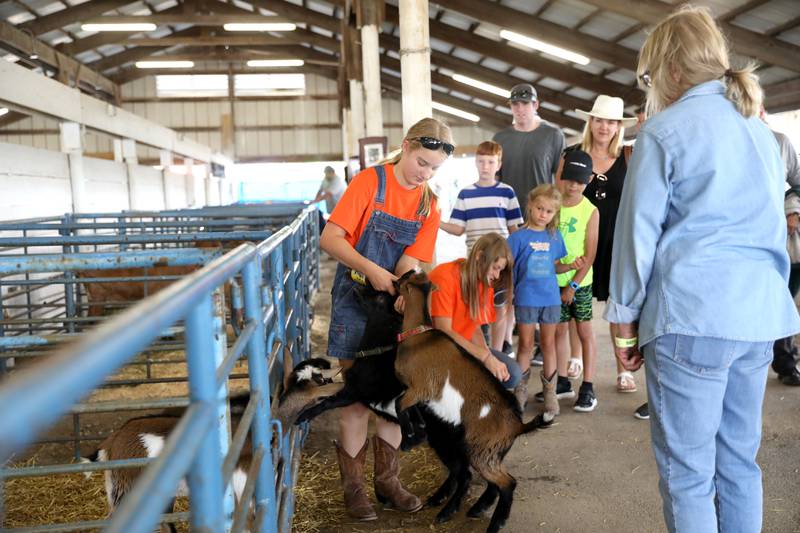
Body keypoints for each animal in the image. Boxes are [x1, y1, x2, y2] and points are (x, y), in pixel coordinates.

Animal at [392, 270, 552, 532]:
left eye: (404, 277)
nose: (393, 279)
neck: (418, 337)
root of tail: (518, 426)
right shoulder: (416, 393)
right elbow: (409, 409)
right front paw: (419, 429)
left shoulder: (419, 388)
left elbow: (398, 405)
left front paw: (407, 440)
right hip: (491, 452)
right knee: (495, 481)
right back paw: (477, 508)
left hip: (479, 450)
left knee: (507, 483)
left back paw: (493, 522)